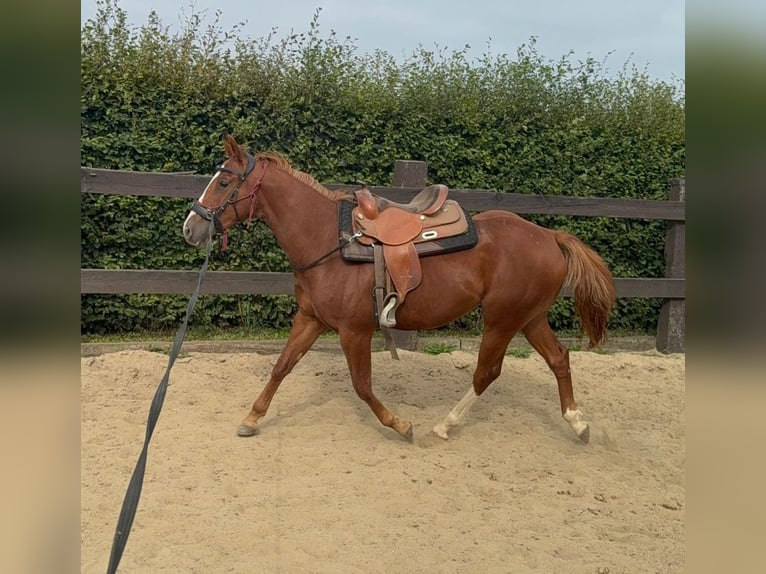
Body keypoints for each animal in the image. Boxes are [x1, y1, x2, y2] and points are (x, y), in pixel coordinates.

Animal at [183, 135, 616, 443]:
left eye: (224, 181)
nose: (191, 227)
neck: (329, 240)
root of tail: (550, 236)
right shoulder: (311, 319)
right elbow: (282, 366)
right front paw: (251, 418)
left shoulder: (354, 331)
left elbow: (362, 386)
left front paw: (401, 424)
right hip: (529, 317)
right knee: (559, 358)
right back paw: (577, 423)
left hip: (503, 319)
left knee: (487, 371)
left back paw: (445, 425)